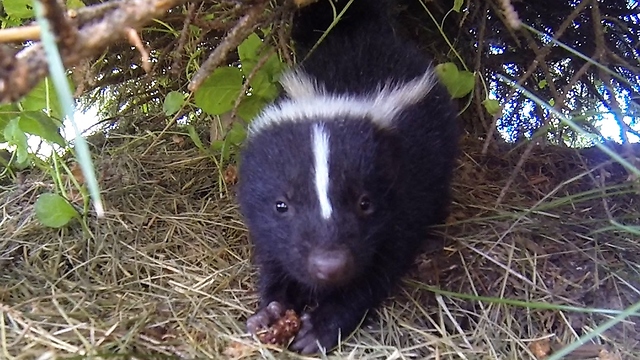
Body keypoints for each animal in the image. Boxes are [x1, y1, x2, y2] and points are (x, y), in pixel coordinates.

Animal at [238, 0, 458, 354]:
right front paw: (270, 311)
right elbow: (274, 258)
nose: (329, 265)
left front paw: (321, 328)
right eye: (281, 205)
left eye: (364, 203)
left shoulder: (404, 194)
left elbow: (378, 268)